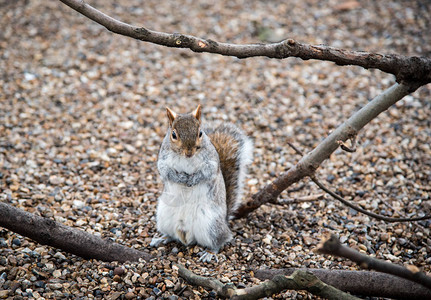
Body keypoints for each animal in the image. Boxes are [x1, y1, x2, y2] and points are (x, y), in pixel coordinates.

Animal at [151, 104, 253, 262]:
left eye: (200, 133)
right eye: (173, 135)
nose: (189, 152)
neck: (186, 158)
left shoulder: (211, 162)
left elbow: (206, 173)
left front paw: (192, 179)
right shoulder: (163, 161)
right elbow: (166, 172)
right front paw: (180, 178)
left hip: (211, 225)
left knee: (221, 239)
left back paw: (210, 252)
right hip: (164, 218)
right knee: (171, 235)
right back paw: (162, 238)